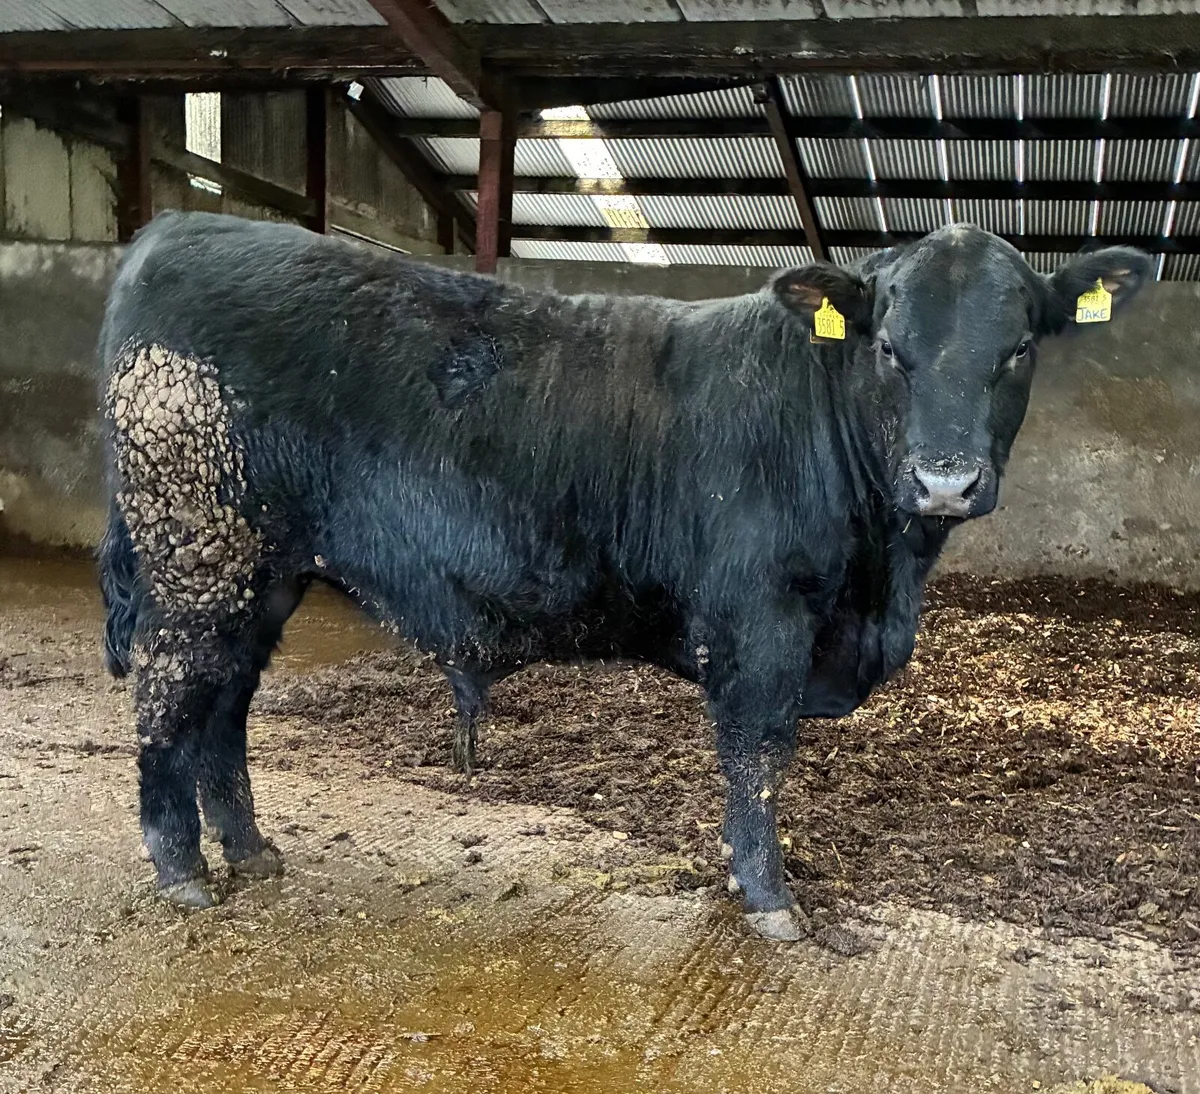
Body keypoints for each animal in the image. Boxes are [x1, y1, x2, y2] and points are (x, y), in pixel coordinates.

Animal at [96, 211, 1150, 940]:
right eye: (890, 349)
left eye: (1019, 348)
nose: (945, 479)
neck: (882, 581)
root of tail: (174, 231)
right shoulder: (762, 622)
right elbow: (758, 756)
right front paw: (769, 898)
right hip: (199, 556)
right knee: (168, 700)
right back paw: (183, 872)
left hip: (259, 572)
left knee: (225, 705)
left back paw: (251, 852)